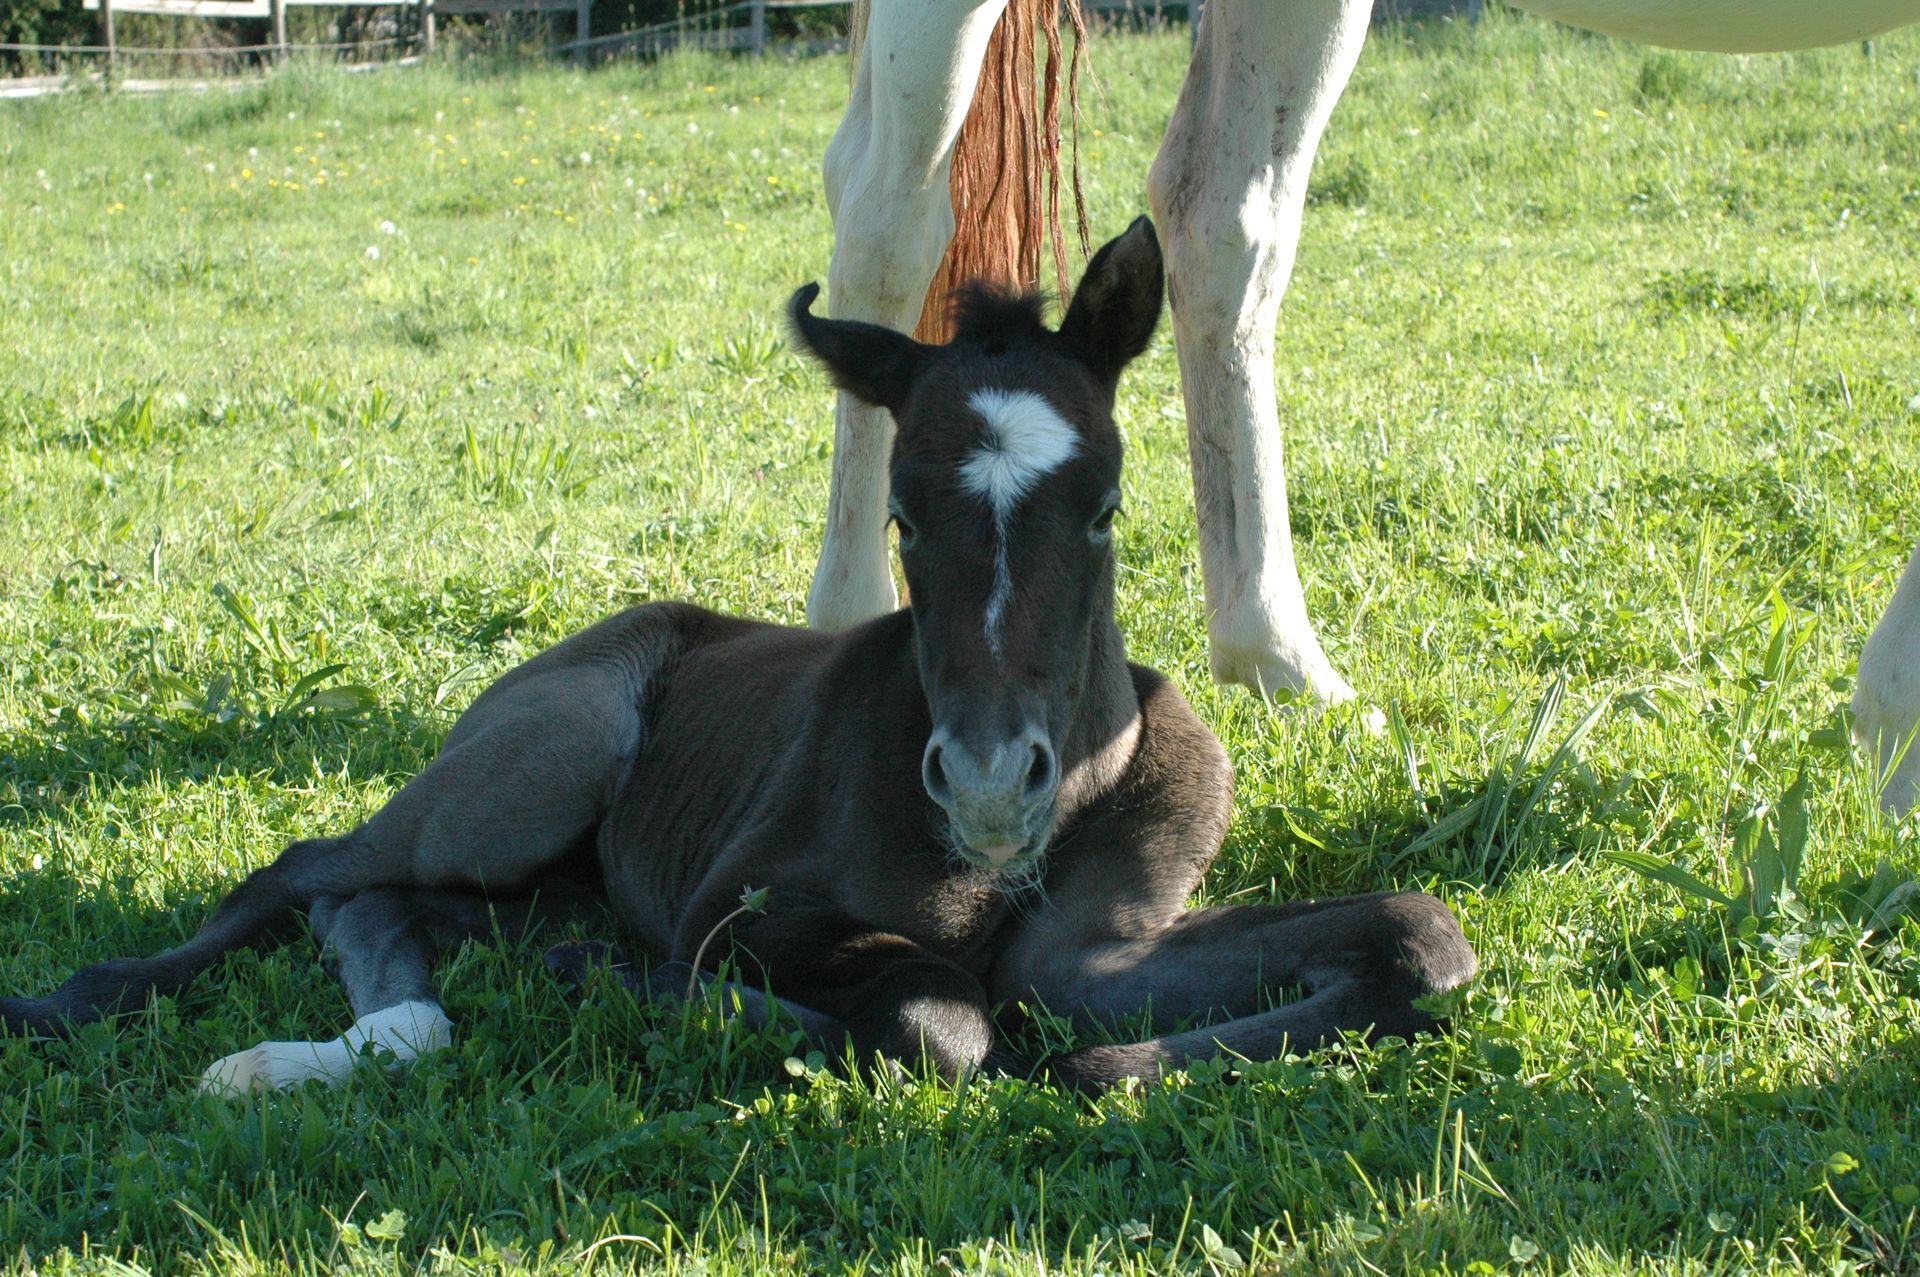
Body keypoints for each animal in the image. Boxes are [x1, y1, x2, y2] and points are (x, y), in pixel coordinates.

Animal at [0, 221, 1477, 1093]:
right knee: (310, 868)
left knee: (381, 908)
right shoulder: (746, 905)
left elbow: (1420, 937)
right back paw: (77, 1002)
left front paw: (1111, 1068)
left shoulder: (1098, 946)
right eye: (902, 515)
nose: (989, 784)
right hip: (539, 763)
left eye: (1107, 506)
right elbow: (941, 1010)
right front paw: (687, 998)